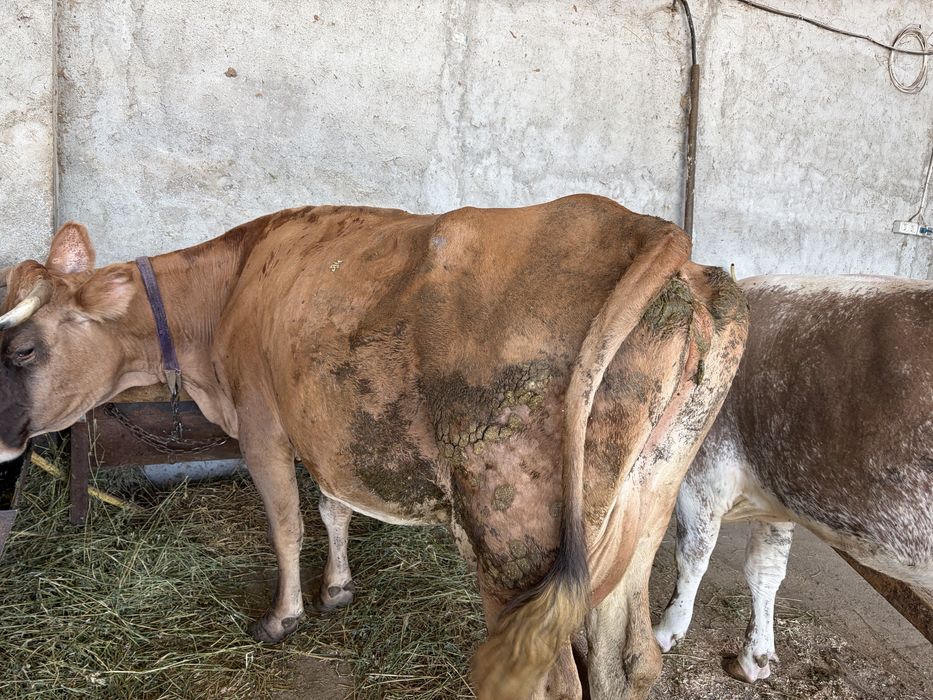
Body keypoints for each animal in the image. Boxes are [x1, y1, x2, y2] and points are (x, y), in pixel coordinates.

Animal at [0, 195, 747, 699]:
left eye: (24, 349)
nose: (3, 437)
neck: (228, 293)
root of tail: (648, 232)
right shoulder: (329, 428)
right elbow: (333, 507)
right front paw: (338, 588)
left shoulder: (262, 423)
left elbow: (287, 523)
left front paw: (284, 617)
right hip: (647, 496)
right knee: (629, 651)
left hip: (515, 533)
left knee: (556, 676)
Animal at [654, 274, 933, 684]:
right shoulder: (777, 503)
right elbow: (765, 571)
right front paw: (754, 658)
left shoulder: (702, 477)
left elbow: (692, 556)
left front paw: (664, 632)